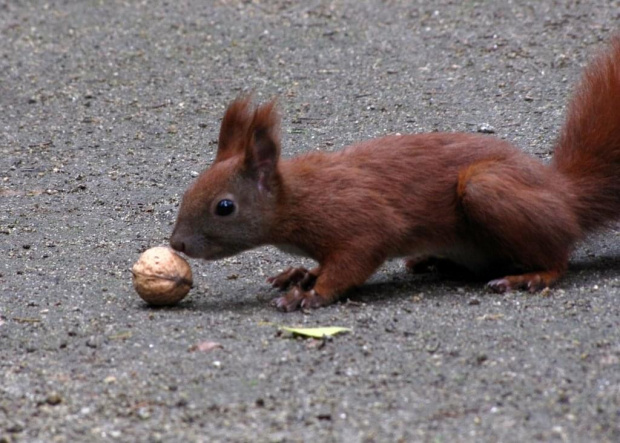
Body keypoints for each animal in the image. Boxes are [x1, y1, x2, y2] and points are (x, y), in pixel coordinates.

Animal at [170, 36, 620, 312]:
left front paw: (313, 293)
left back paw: (530, 275)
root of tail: (564, 195)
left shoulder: (357, 219)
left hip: (487, 188)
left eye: (224, 207)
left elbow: (357, 257)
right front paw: (302, 274)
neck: (299, 195)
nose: (177, 244)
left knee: (558, 256)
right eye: (188, 190)